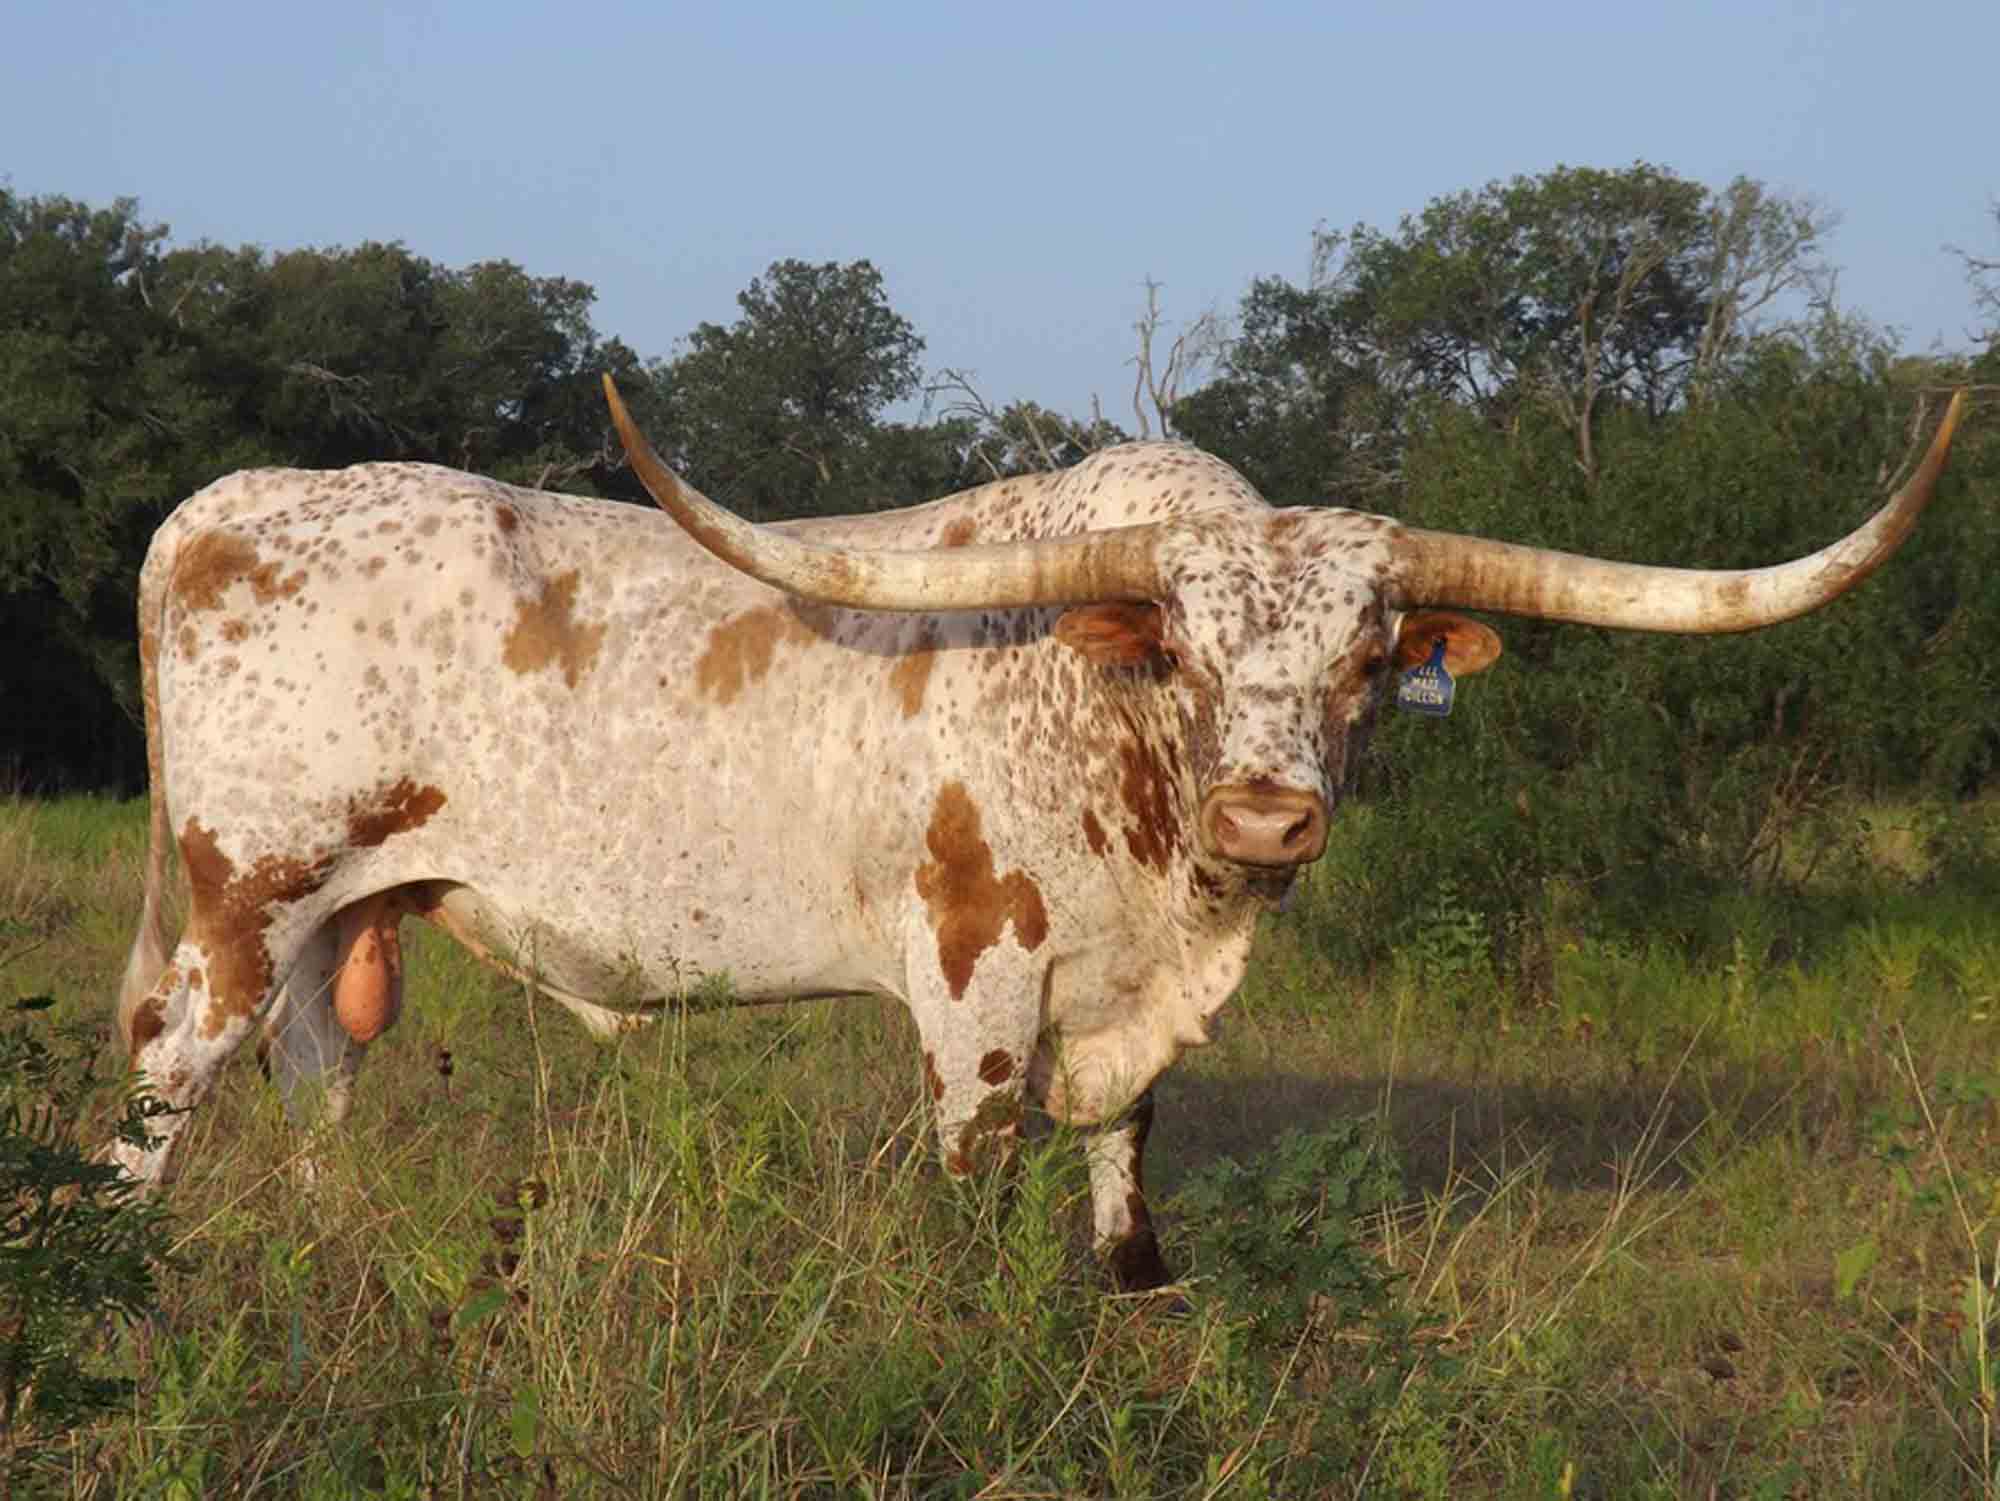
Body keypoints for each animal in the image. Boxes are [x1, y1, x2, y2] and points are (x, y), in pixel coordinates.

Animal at [112, 379, 1965, 1290]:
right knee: (161, 1085)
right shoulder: (975, 975)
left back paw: (342, 1240)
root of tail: (221, 509)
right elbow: (976, 1162)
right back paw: (126, 1271)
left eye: (1372, 661)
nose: (1269, 810)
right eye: (1189, 651)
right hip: (240, 904)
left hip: (337, 922)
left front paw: (1135, 1292)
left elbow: (1128, 1142)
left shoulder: (1133, 990)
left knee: (315, 1079)